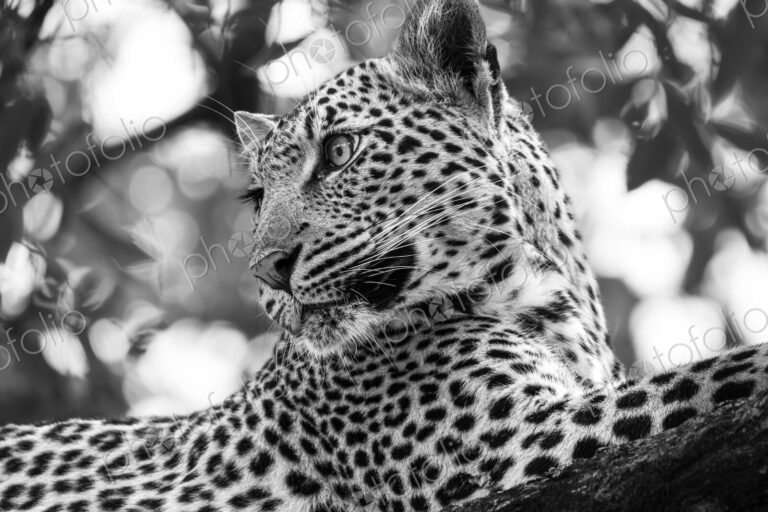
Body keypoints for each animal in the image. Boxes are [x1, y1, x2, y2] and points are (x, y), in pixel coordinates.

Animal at [2, 0, 768, 511]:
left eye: (340, 151)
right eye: (258, 198)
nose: (267, 270)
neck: (556, 296)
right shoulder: (508, 441)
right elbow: (710, 376)